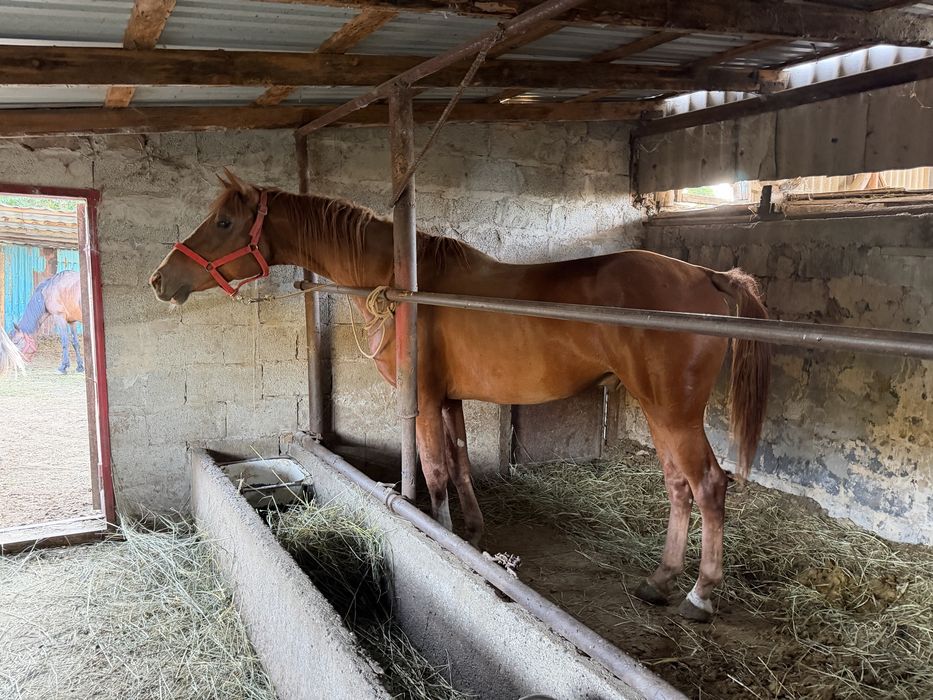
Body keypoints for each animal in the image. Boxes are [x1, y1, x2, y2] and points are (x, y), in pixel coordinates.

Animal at [149, 170, 771, 622]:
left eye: (224, 221)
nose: (160, 279)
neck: (403, 287)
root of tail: (709, 277)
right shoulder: (449, 400)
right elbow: (461, 461)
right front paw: (470, 531)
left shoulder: (422, 399)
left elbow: (432, 470)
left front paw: (443, 534)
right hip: (659, 412)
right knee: (677, 486)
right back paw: (660, 581)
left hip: (674, 413)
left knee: (708, 485)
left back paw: (699, 595)